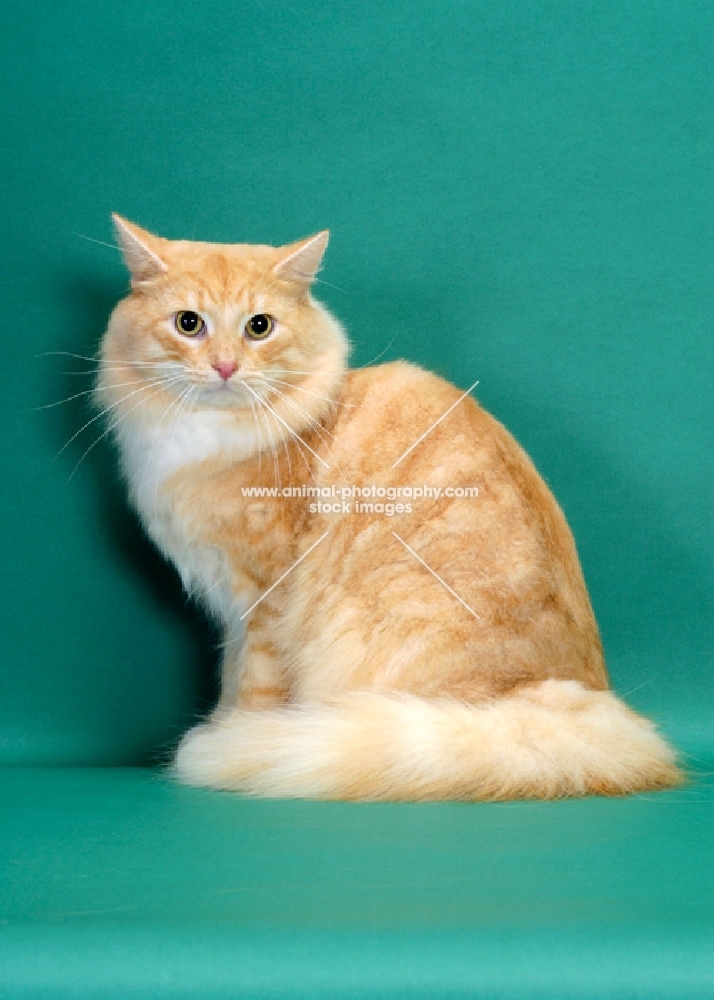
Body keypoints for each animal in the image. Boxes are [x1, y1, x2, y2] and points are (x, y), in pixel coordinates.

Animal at [94, 215, 680, 800]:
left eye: (259, 327)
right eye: (188, 324)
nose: (224, 367)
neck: (208, 436)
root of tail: (576, 706)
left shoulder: (264, 594)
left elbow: (254, 683)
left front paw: (237, 737)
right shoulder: (232, 605)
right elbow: (230, 674)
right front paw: (223, 725)